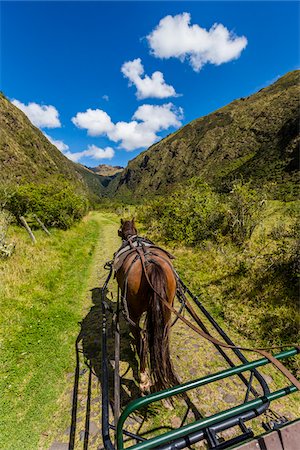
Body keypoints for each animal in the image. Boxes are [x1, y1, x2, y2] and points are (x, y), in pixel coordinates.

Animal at [114, 219, 179, 394]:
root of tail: (150, 264)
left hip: (133, 314)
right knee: (162, 336)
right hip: (166, 310)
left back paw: (144, 379)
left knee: (141, 338)